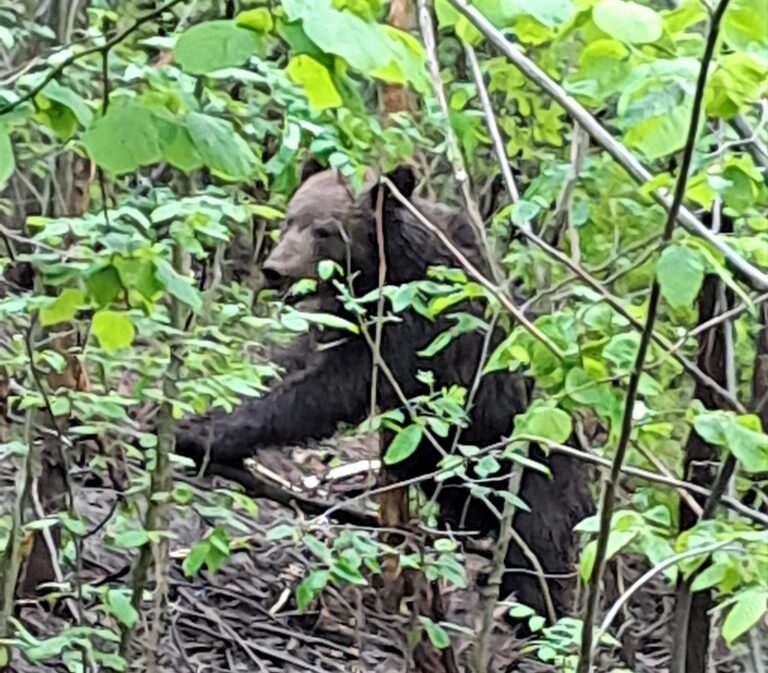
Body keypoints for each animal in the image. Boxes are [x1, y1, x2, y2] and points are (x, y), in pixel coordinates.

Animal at [176, 163, 592, 616]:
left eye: (324, 230)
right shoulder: (346, 314)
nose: (275, 268)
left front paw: (201, 434)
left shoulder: (420, 321)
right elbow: (295, 358)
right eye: (289, 218)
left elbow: (333, 388)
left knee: (536, 550)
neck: (382, 269)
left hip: (531, 476)